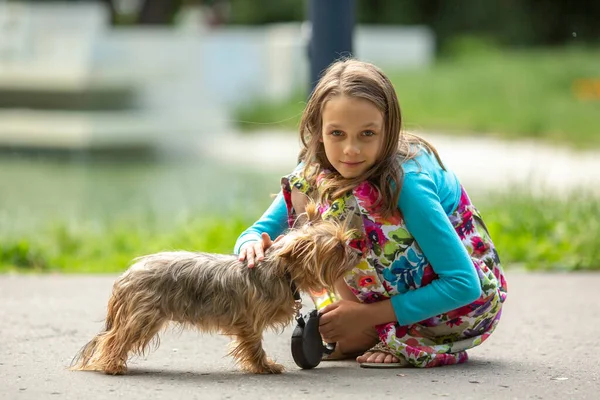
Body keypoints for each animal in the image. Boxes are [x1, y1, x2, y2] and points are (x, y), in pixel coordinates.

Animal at [70, 206, 360, 376]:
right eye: (337, 247)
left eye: (344, 242)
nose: (356, 252)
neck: (281, 270)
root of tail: (126, 275)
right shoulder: (249, 321)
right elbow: (254, 345)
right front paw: (264, 366)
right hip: (142, 317)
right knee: (114, 338)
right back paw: (112, 365)